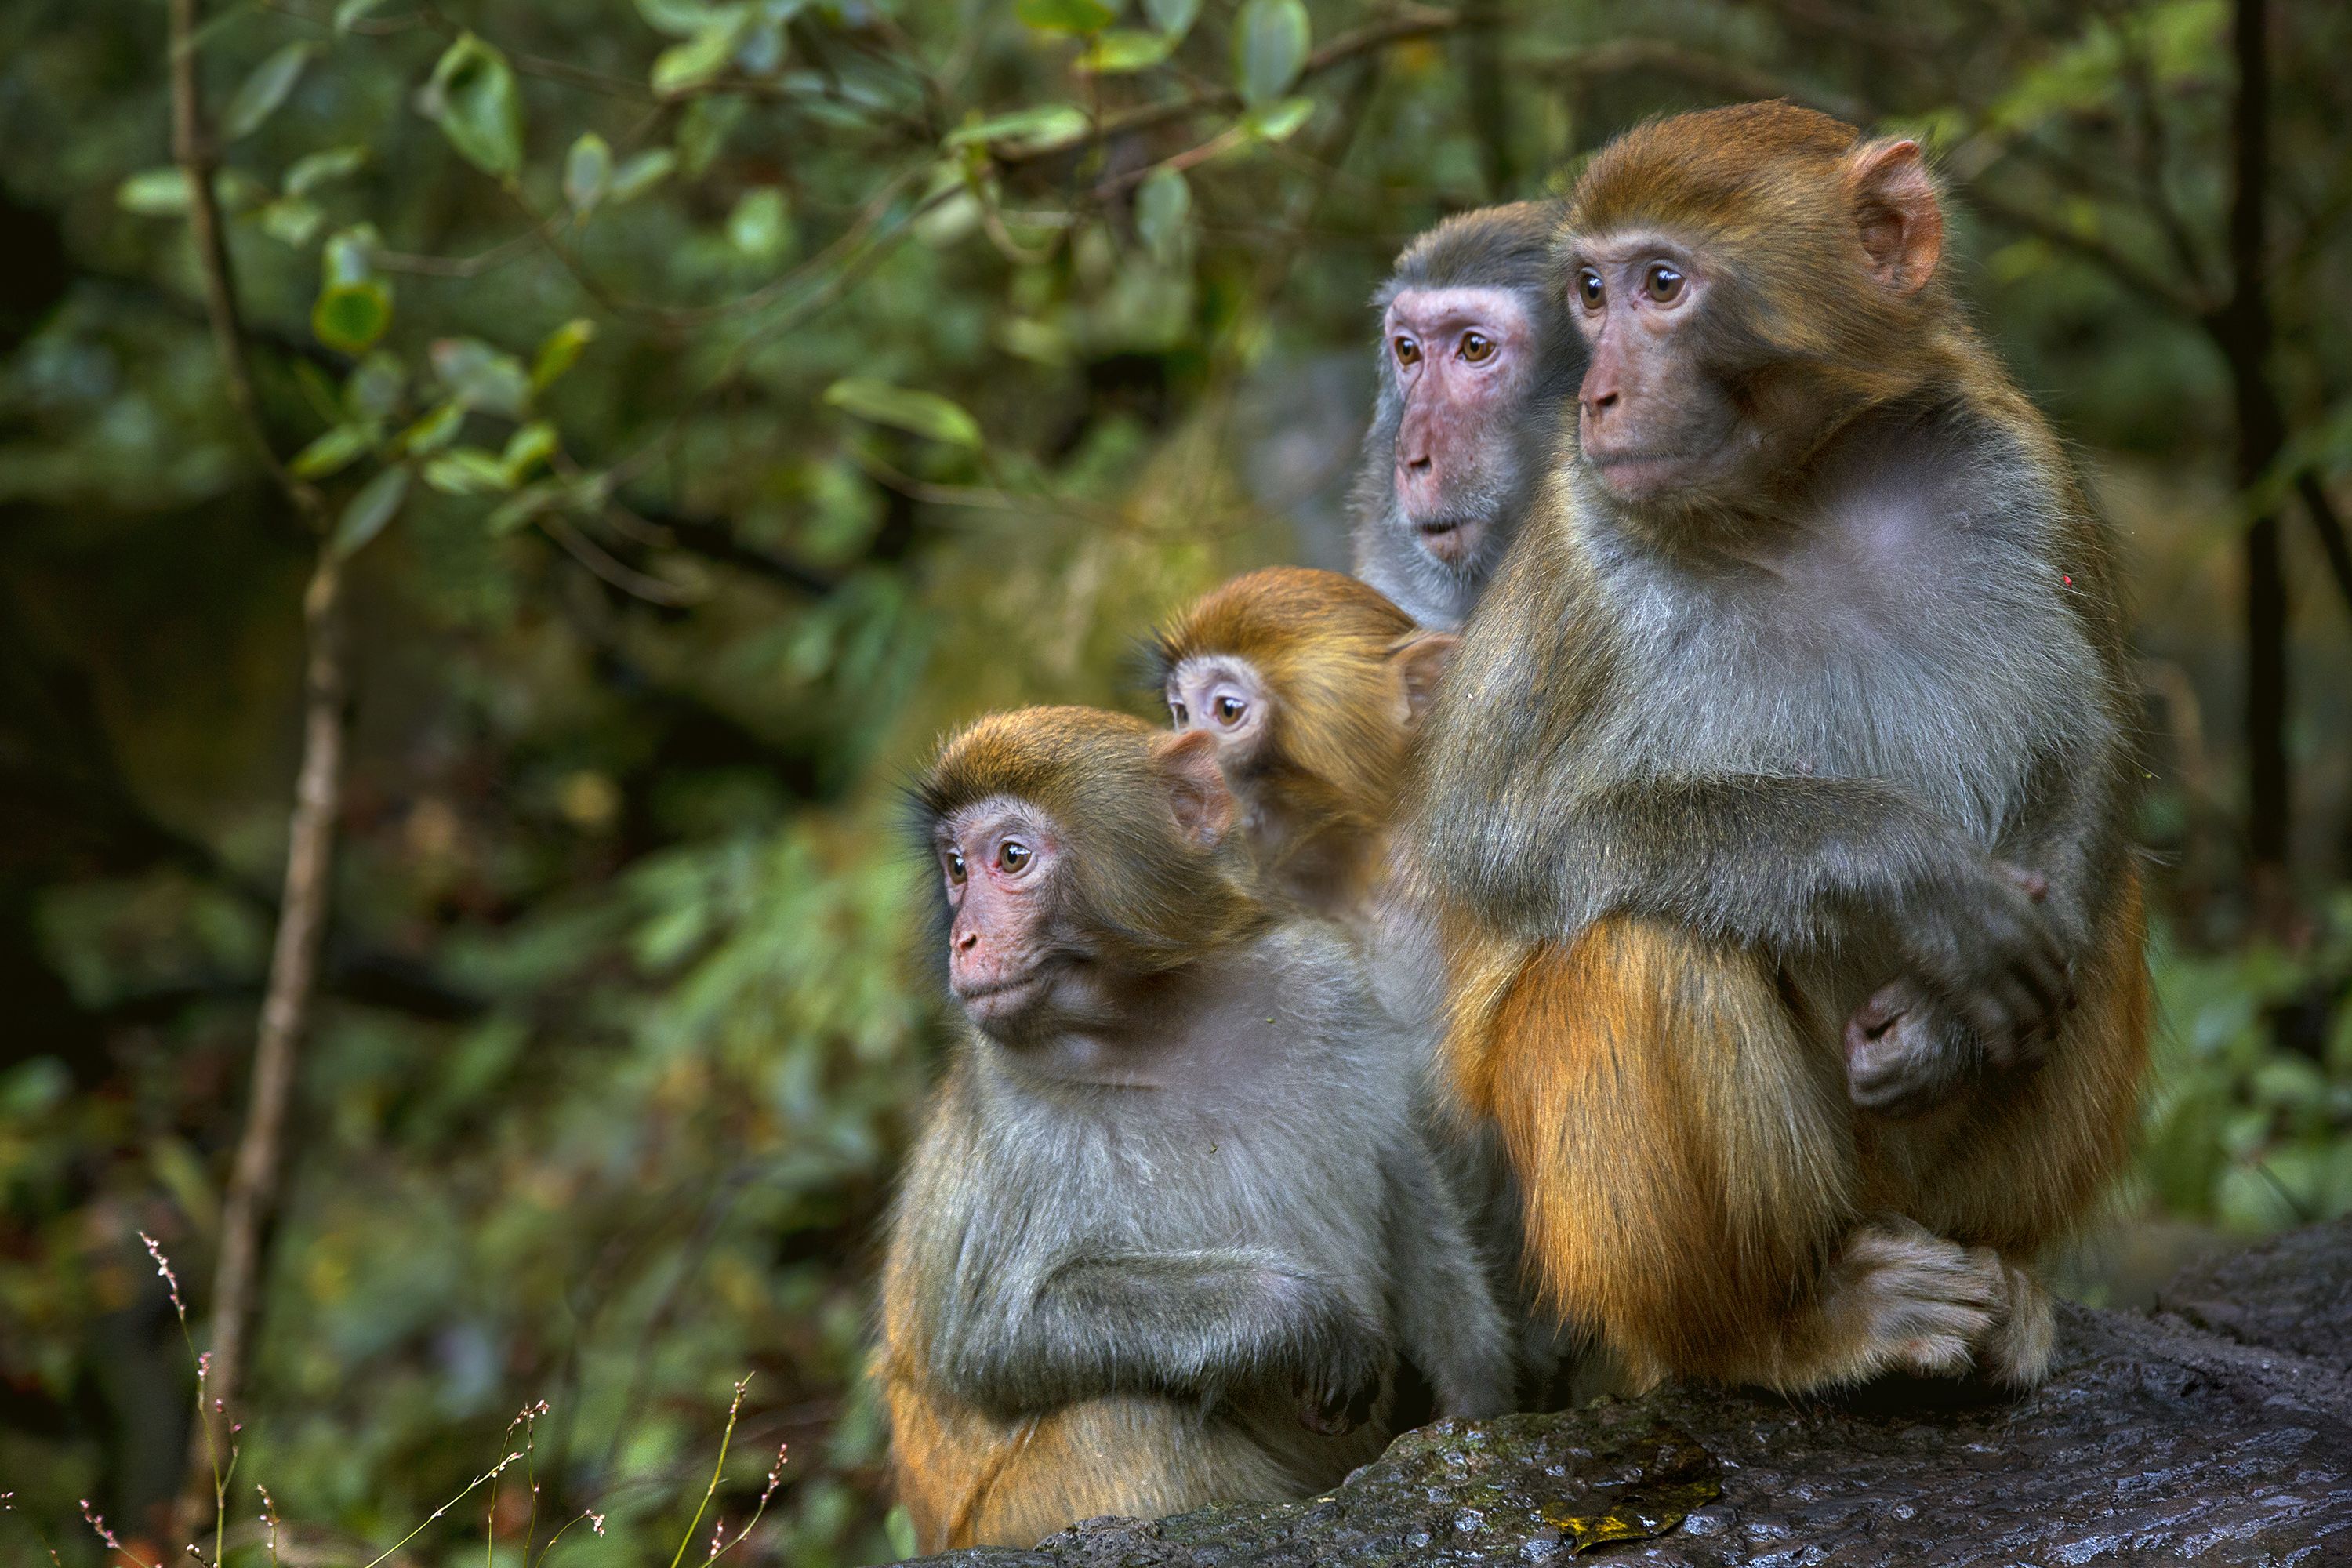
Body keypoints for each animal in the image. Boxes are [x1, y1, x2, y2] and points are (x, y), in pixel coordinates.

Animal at [880, 714, 1505, 1561]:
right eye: (954, 868)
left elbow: (1403, 1177)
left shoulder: (1325, 981)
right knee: (1130, 1425)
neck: (1158, 1021)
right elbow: (992, 1340)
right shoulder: (1006, 1106)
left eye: (1009, 857)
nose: (966, 939)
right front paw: (1292, 1316)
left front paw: (1478, 1405)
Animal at [1402, 100, 2154, 1401]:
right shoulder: (1580, 553)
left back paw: (2002, 1275)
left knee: (2098, 920)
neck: (1804, 489)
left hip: (1930, 1181)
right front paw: (1902, 868)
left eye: (1661, 285)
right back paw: (1781, 1328)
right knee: (1646, 942)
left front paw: (1949, 1021)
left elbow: (2092, 748)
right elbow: (1501, 845)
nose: (1600, 396)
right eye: (1591, 292)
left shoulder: (2015, 459)